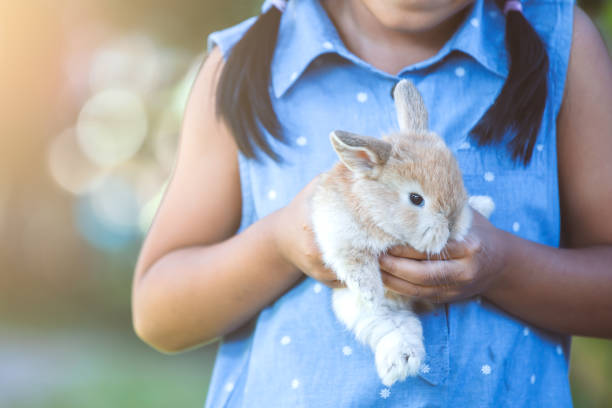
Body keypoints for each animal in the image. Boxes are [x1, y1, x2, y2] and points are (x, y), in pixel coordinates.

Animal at [310, 79, 492, 386]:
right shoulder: (338, 232)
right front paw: (371, 291)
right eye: (416, 199)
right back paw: (401, 361)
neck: (377, 210)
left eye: (457, 181)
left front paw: (484, 205)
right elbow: (355, 260)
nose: (452, 224)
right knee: (390, 327)